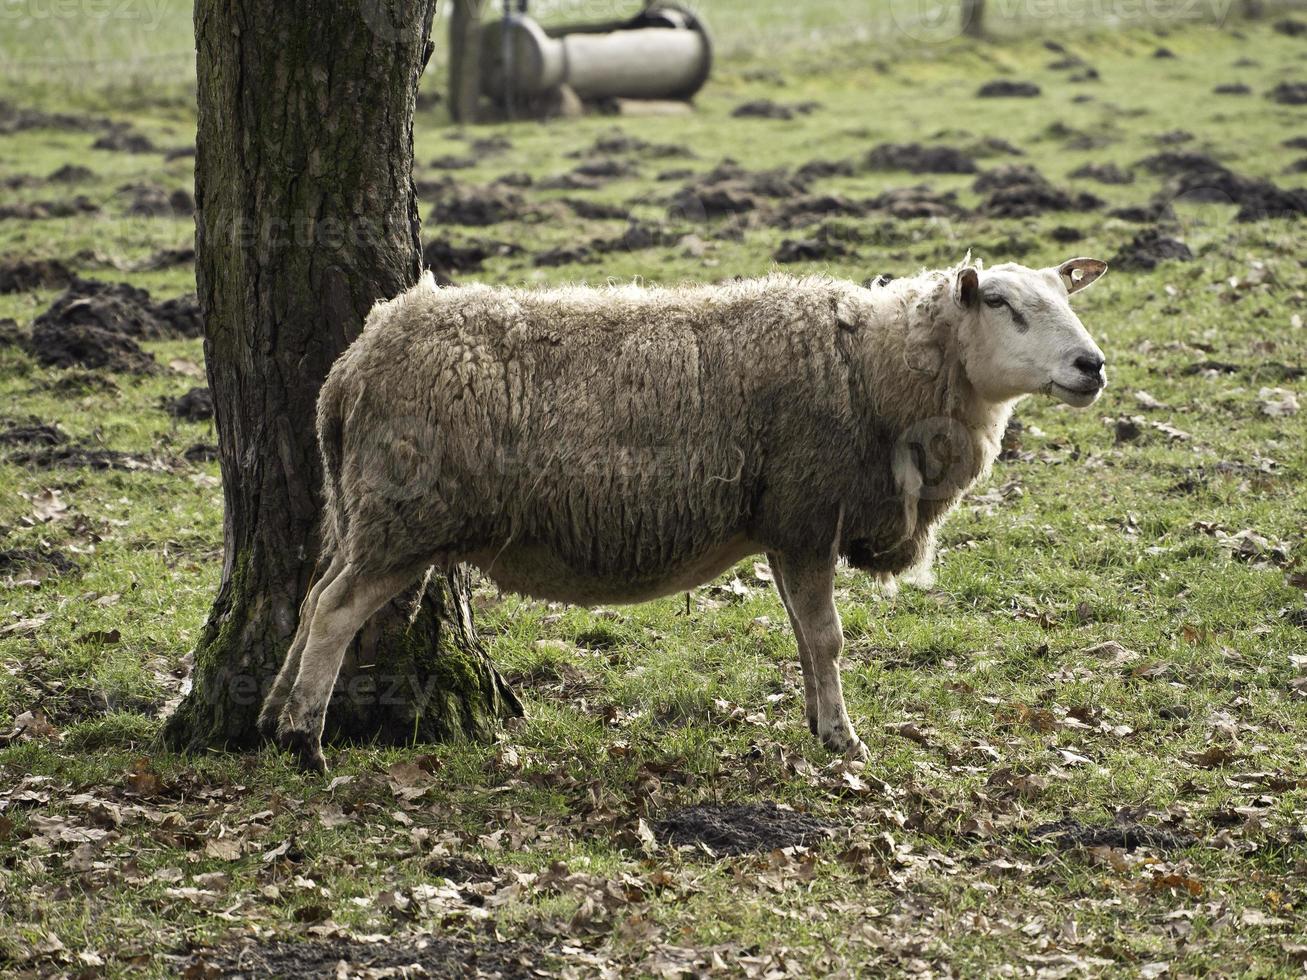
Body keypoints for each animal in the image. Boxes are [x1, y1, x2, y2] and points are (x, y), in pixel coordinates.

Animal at [257, 254, 1113, 773]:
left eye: (1065, 298)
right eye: (999, 304)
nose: (1091, 365)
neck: (871, 365)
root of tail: (351, 366)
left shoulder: (783, 526)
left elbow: (804, 638)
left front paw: (818, 723)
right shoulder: (807, 511)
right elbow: (828, 638)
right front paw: (843, 740)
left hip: (364, 511)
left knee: (311, 597)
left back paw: (268, 717)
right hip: (405, 513)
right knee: (334, 611)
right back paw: (303, 739)